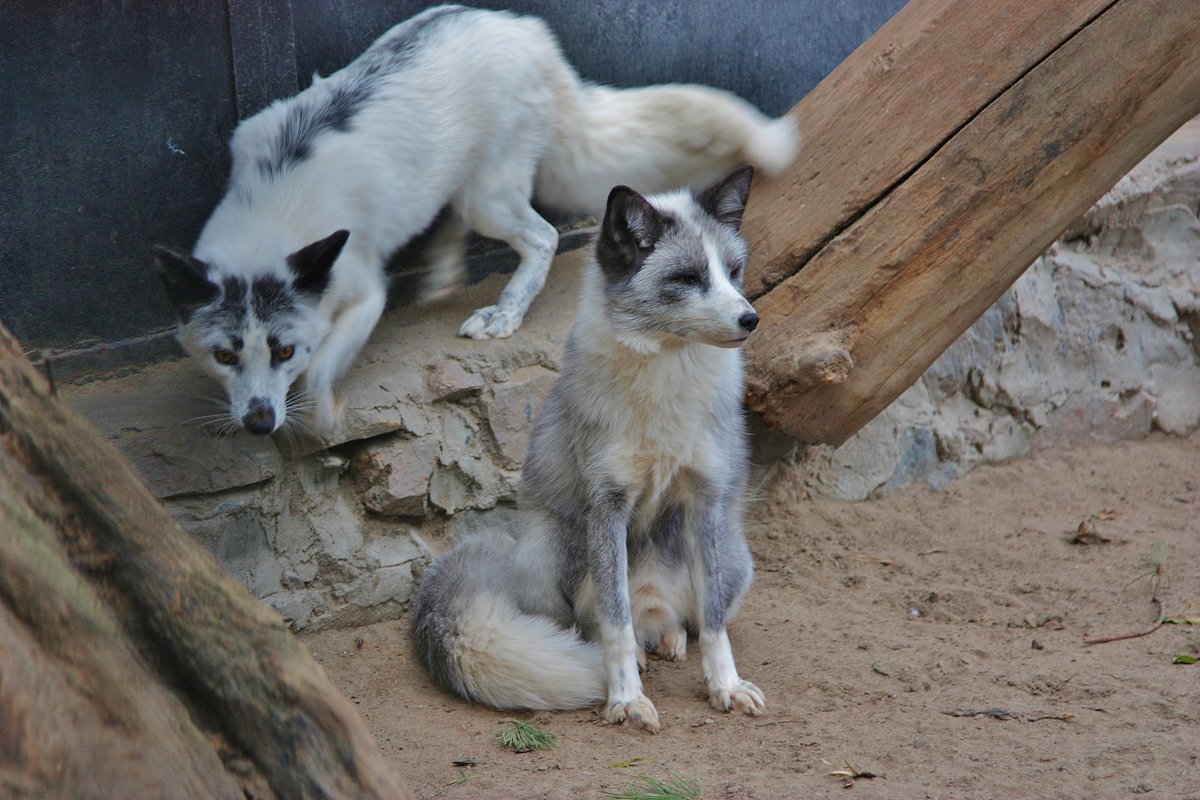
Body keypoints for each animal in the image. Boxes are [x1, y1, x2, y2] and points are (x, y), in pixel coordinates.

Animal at [157, 3, 796, 434]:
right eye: (224, 356)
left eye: (285, 351)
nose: (259, 424)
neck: (275, 207)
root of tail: (531, 33)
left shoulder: (365, 292)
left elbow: (326, 362)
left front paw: (323, 409)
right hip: (467, 187)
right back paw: (442, 273)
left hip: (488, 198)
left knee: (541, 236)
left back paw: (504, 313)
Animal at [412, 164, 763, 734]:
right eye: (688, 278)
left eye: (733, 273)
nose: (751, 319)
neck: (668, 383)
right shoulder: (607, 505)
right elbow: (614, 623)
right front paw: (625, 697)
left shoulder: (705, 502)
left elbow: (712, 625)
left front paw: (724, 686)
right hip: (551, 550)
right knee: (597, 622)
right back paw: (634, 652)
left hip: (735, 556)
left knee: (684, 622)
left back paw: (668, 638)